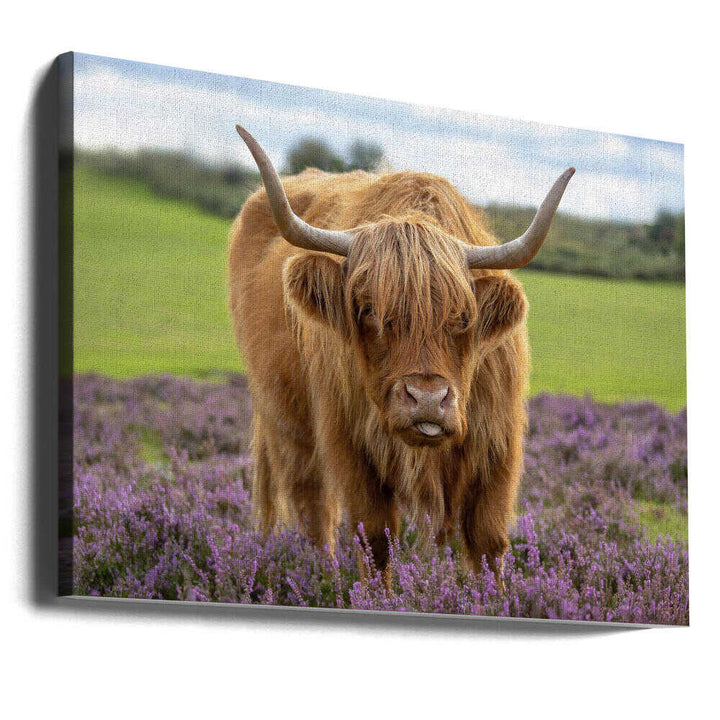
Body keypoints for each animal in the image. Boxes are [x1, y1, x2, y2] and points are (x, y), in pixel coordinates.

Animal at [229, 125, 573, 585]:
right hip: (287, 423)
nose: (426, 400)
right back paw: (323, 576)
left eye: (463, 317)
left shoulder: (497, 445)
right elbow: (375, 540)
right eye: (369, 310)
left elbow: (488, 542)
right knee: (313, 507)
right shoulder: (350, 444)